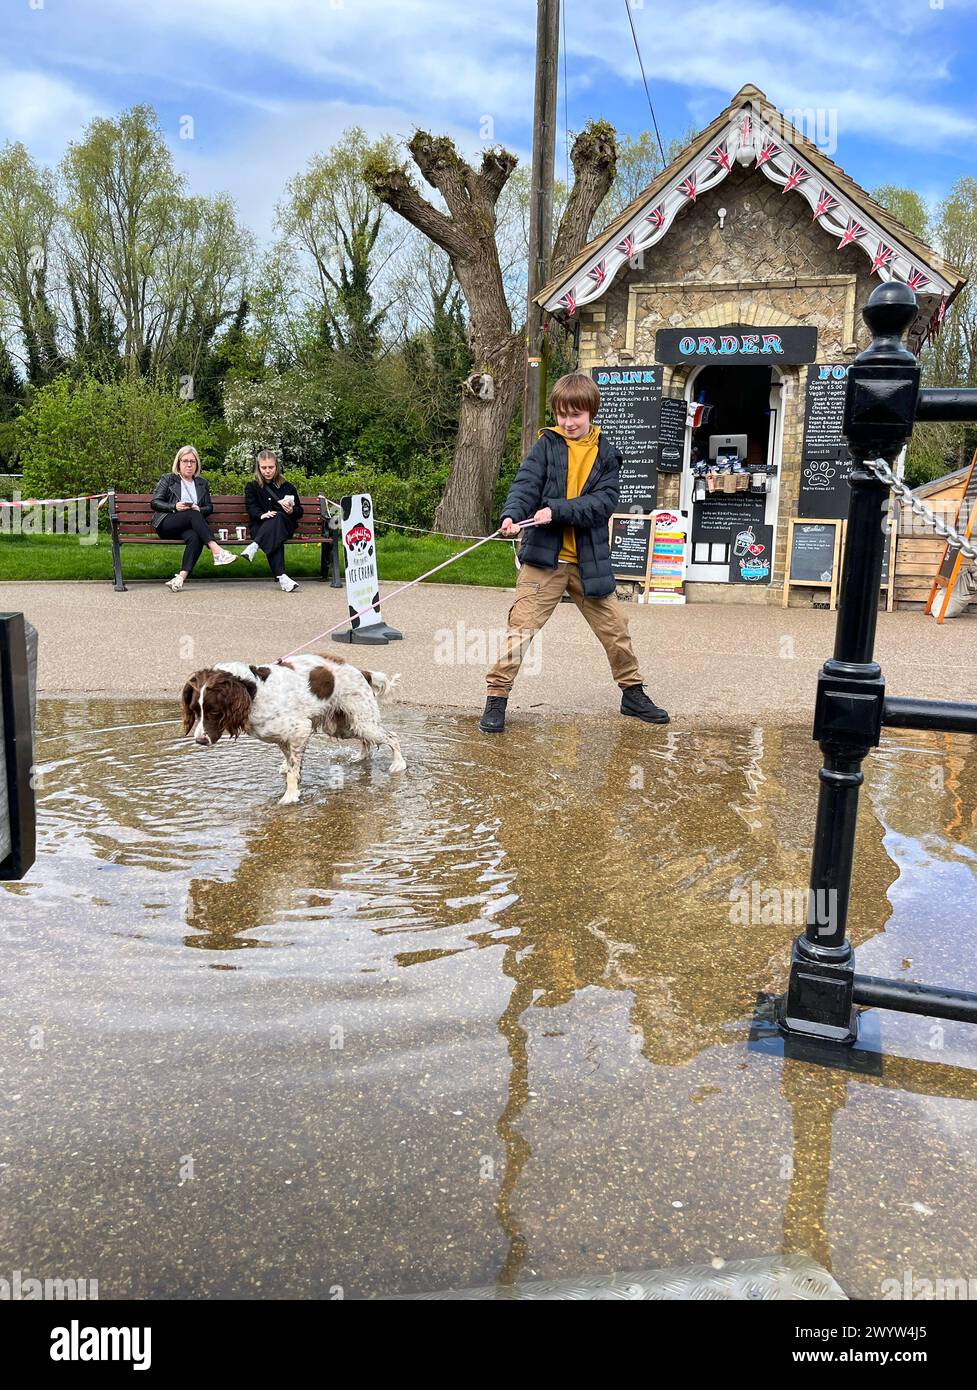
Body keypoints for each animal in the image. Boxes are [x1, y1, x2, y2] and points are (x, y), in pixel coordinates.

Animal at [182, 650, 405, 806]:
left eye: (214, 712)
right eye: (195, 710)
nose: (200, 740)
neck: (253, 690)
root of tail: (360, 671)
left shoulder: (300, 730)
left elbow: (292, 769)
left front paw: (290, 796)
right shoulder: (284, 738)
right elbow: (291, 764)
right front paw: (294, 782)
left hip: (362, 722)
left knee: (392, 737)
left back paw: (398, 764)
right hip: (344, 726)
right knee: (366, 740)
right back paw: (362, 757)